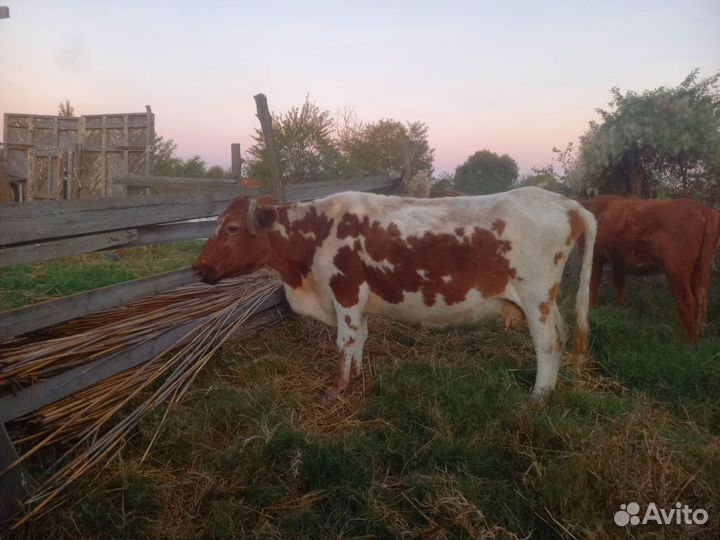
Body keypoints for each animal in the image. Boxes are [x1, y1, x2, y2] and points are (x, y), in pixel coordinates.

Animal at [192, 187, 597, 399]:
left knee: (547, 343)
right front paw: (354, 378)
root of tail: (567, 203)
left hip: (535, 296)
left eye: (230, 228)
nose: (197, 268)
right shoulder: (357, 303)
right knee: (561, 337)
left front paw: (336, 389)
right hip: (544, 300)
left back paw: (538, 397)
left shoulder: (346, 292)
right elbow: (359, 340)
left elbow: (344, 341)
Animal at [581, 195, 720, 343]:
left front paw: (592, 309)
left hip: (676, 269)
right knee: (702, 298)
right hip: (702, 267)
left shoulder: (595, 256)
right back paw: (701, 333)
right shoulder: (619, 261)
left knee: (687, 302)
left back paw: (689, 342)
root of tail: (705, 210)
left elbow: (592, 286)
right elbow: (619, 285)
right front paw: (620, 310)